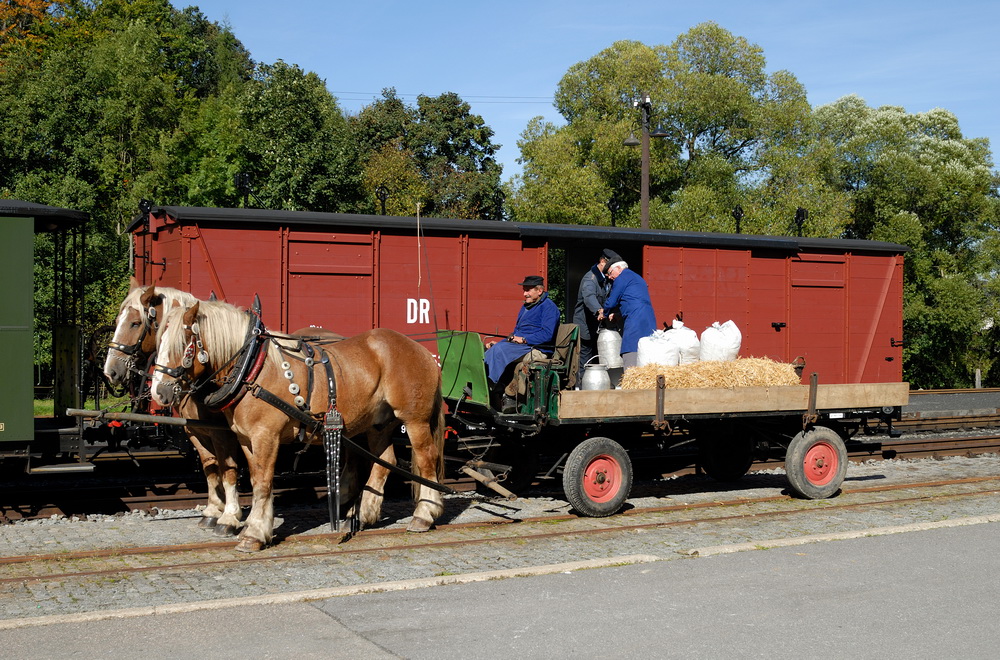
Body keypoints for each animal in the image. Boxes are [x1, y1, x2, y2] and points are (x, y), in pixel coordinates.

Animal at [149, 300, 446, 552]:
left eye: (182, 345)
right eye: (158, 341)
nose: (159, 393)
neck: (253, 367)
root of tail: (421, 350)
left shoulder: (265, 436)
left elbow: (263, 482)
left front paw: (253, 533)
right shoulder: (245, 438)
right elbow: (251, 478)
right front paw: (254, 525)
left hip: (415, 420)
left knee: (426, 459)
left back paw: (424, 515)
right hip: (379, 423)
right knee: (385, 461)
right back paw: (364, 514)